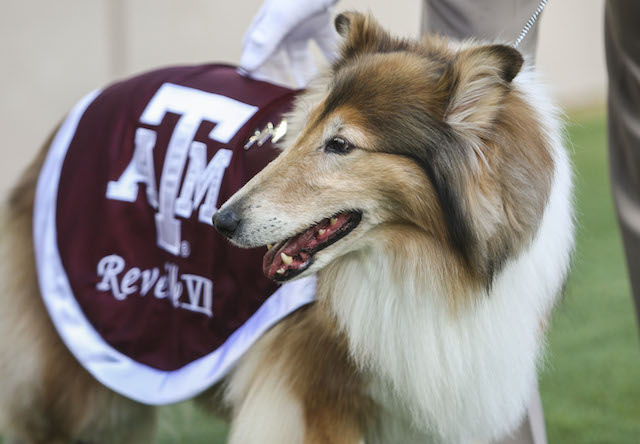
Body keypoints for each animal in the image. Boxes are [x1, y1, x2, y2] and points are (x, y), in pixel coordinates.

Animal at [0, 12, 568, 444]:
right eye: (301, 129)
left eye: (340, 144)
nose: (220, 221)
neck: (436, 262)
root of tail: (81, 108)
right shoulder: (315, 395)